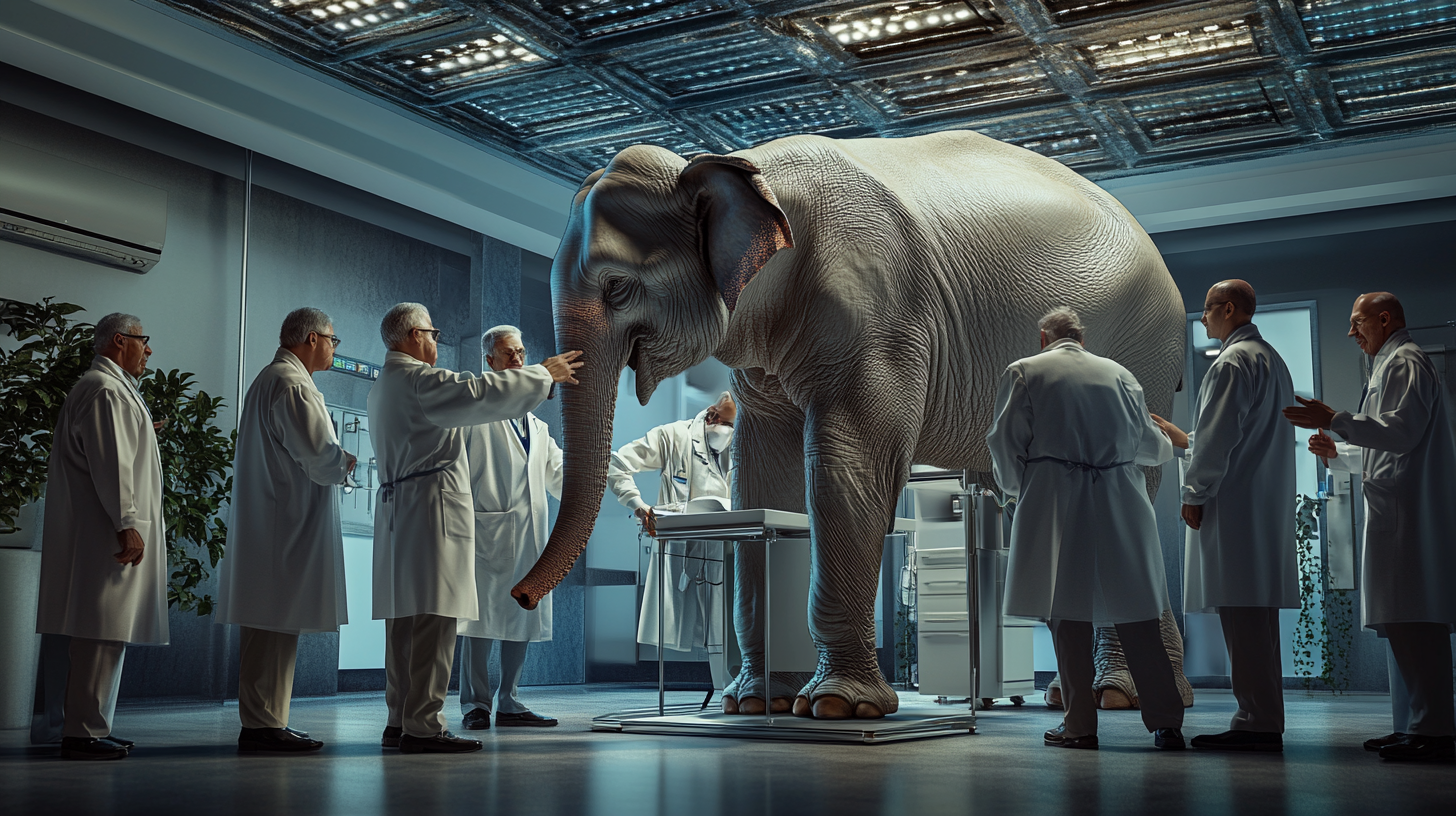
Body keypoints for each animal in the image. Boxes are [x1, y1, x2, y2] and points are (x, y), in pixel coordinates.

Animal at [512, 128, 1182, 719]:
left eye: (617, 287)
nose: (520, 596)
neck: (745, 167)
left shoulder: (881, 306)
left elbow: (847, 464)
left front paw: (837, 706)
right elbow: (764, 481)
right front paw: (754, 702)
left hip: (1144, 359)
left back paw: (1119, 698)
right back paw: (1089, 696)